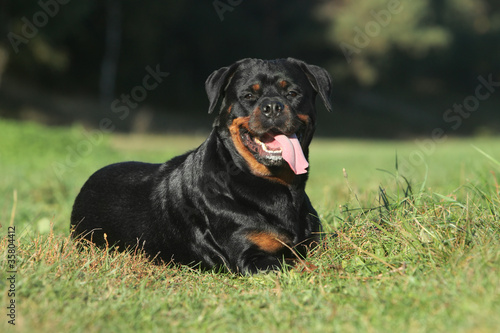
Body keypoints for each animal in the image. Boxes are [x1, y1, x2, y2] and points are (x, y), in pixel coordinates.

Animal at [70, 57, 332, 274]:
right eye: (249, 96)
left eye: (293, 93)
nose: (273, 107)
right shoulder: (251, 256)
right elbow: (299, 264)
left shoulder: (314, 243)